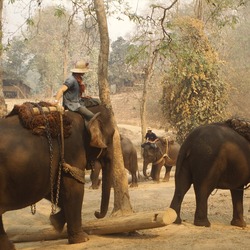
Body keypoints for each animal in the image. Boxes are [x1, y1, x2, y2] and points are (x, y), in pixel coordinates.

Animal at [0, 102, 114, 250]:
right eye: (112, 135)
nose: (96, 213)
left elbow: (54, 191)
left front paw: (55, 223)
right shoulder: (73, 149)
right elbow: (74, 188)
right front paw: (82, 239)